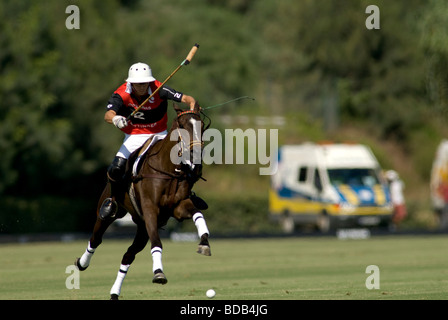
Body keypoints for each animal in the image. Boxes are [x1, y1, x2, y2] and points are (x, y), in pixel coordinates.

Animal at [74, 104, 211, 300]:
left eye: (202, 126)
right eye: (183, 126)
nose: (196, 155)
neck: (169, 169)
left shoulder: (177, 207)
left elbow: (197, 213)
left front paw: (204, 242)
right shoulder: (150, 209)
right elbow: (157, 243)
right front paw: (159, 273)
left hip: (142, 227)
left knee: (128, 255)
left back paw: (114, 292)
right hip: (110, 212)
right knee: (96, 238)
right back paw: (82, 263)